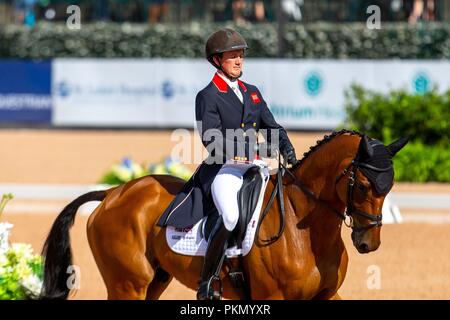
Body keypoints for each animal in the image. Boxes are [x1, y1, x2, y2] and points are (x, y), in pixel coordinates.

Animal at [39, 130, 408, 300]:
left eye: (388, 187)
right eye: (363, 185)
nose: (368, 242)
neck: (304, 232)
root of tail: (113, 193)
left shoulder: (326, 295)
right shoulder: (273, 296)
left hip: (154, 281)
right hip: (127, 284)